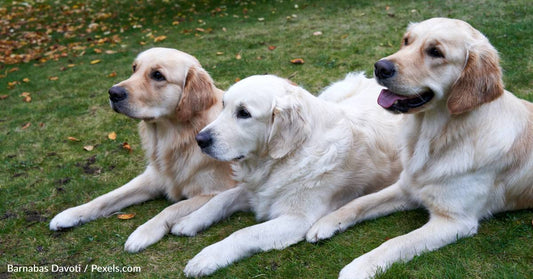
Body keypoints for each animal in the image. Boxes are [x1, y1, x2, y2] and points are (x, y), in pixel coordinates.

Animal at [48, 48, 235, 254]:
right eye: (134, 68)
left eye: (158, 75)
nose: (113, 92)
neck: (177, 138)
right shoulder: (153, 177)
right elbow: (107, 197)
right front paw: (72, 213)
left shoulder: (216, 191)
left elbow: (172, 208)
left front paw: (143, 233)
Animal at [306, 18, 532, 279]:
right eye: (406, 41)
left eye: (435, 52)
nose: (380, 67)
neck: (433, 137)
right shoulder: (407, 188)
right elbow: (359, 203)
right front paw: (326, 222)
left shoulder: (454, 220)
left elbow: (396, 242)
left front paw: (358, 267)